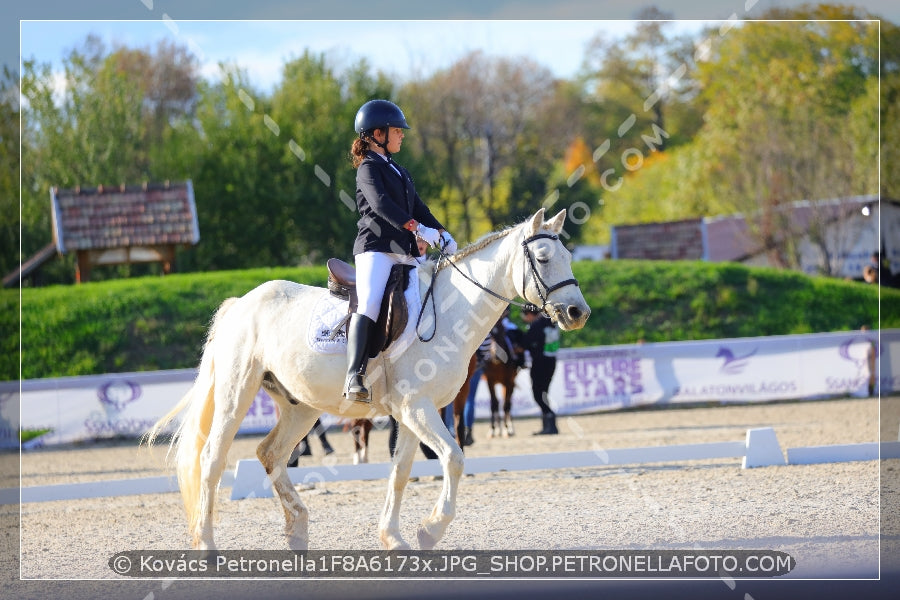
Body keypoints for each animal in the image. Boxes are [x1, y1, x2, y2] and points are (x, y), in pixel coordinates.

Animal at [146, 209, 592, 552]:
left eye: (568, 255)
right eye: (543, 257)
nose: (577, 313)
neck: (451, 309)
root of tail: (242, 302)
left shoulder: (413, 413)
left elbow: (400, 472)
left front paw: (395, 538)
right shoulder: (417, 408)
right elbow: (453, 458)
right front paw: (431, 530)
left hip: (301, 407)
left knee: (271, 454)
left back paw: (297, 531)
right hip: (236, 393)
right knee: (212, 459)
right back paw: (207, 545)